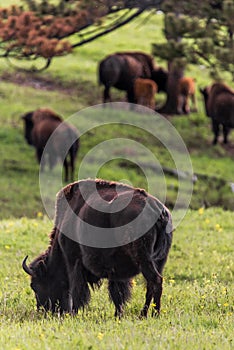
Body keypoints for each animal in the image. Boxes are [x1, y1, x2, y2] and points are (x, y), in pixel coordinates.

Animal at [22, 179, 173, 318]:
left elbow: (77, 290)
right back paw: (147, 314)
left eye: (34, 285)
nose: (43, 311)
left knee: (155, 281)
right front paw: (118, 315)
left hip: (144, 260)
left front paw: (74, 313)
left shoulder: (74, 262)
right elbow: (117, 294)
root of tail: (159, 212)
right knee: (152, 285)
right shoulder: (116, 271)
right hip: (159, 261)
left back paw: (150, 314)